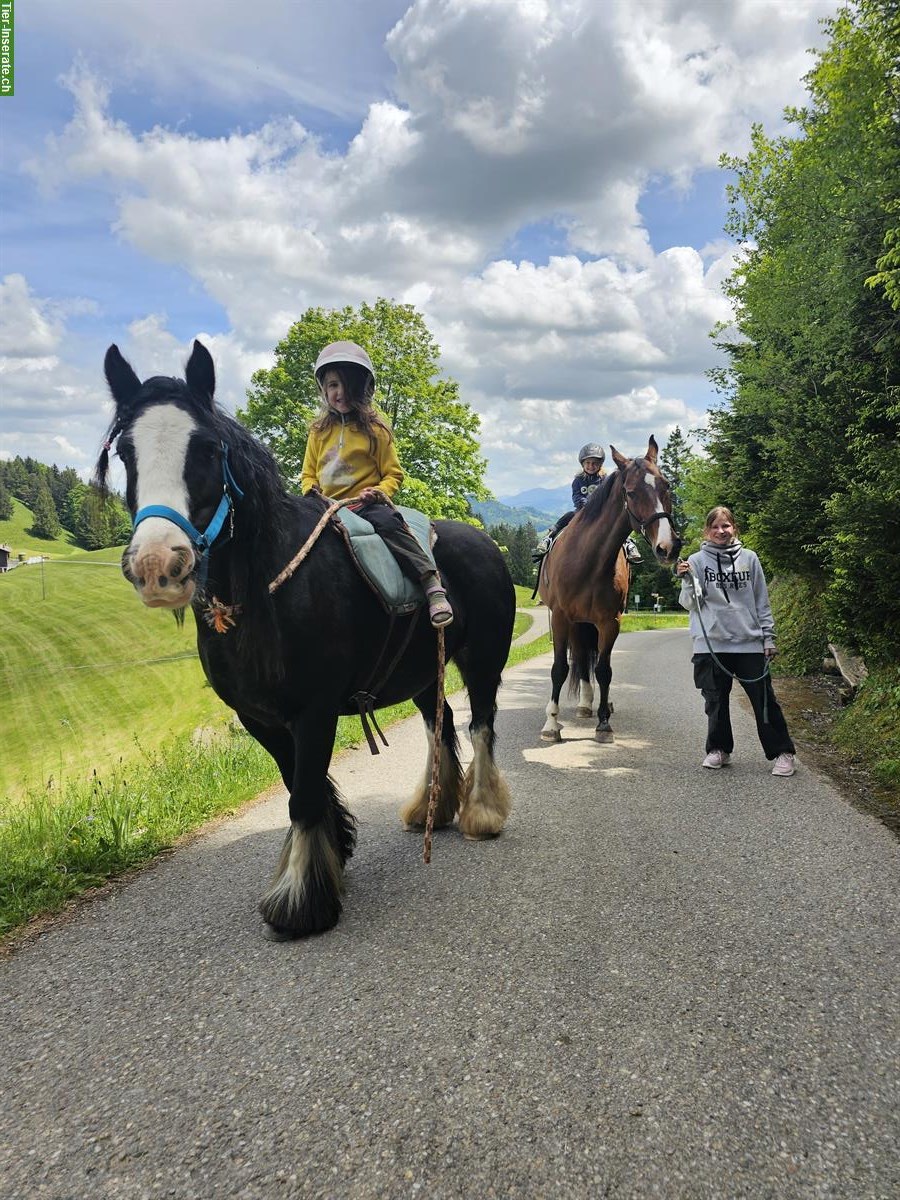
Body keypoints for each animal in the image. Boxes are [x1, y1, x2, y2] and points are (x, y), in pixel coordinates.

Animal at [97, 340, 516, 938]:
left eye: (206, 449)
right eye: (126, 453)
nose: (158, 564)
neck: (264, 595)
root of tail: (485, 544)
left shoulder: (314, 711)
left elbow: (305, 795)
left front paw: (300, 901)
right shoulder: (259, 717)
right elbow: (300, 789)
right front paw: (330, 854)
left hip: (483, 662)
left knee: (481, 725)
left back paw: (481, 812)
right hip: (421, 675)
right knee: (441, 725)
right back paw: (432, 810)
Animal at [537, 437, 681, 743]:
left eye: (666, 485)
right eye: (631, 492)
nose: (668, 547)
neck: (588, 560)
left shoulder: (609, 621)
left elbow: (604, 670)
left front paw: (603, 722)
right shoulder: (561, 618)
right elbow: (559, 669)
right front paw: (551, 723)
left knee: (588, 661)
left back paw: (590, 704)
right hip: (576, 622)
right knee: (579, 659)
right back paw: (582, 705)